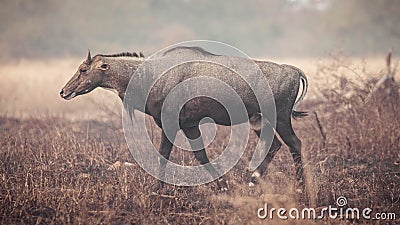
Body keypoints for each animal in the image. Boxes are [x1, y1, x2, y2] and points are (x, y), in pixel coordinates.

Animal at [60, 47, 310, 193]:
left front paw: (156, 190)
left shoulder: (169, 123)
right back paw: (252, 180)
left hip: (280, 118)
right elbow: (201, 156)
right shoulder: (190, 125)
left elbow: (163, 155)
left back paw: (301, 189)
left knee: (295, 143)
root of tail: (295, 71)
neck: (149, 76)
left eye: (83, 69)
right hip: (258, 120)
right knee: (275, 145)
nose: (63, 91)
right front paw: (223, 186)